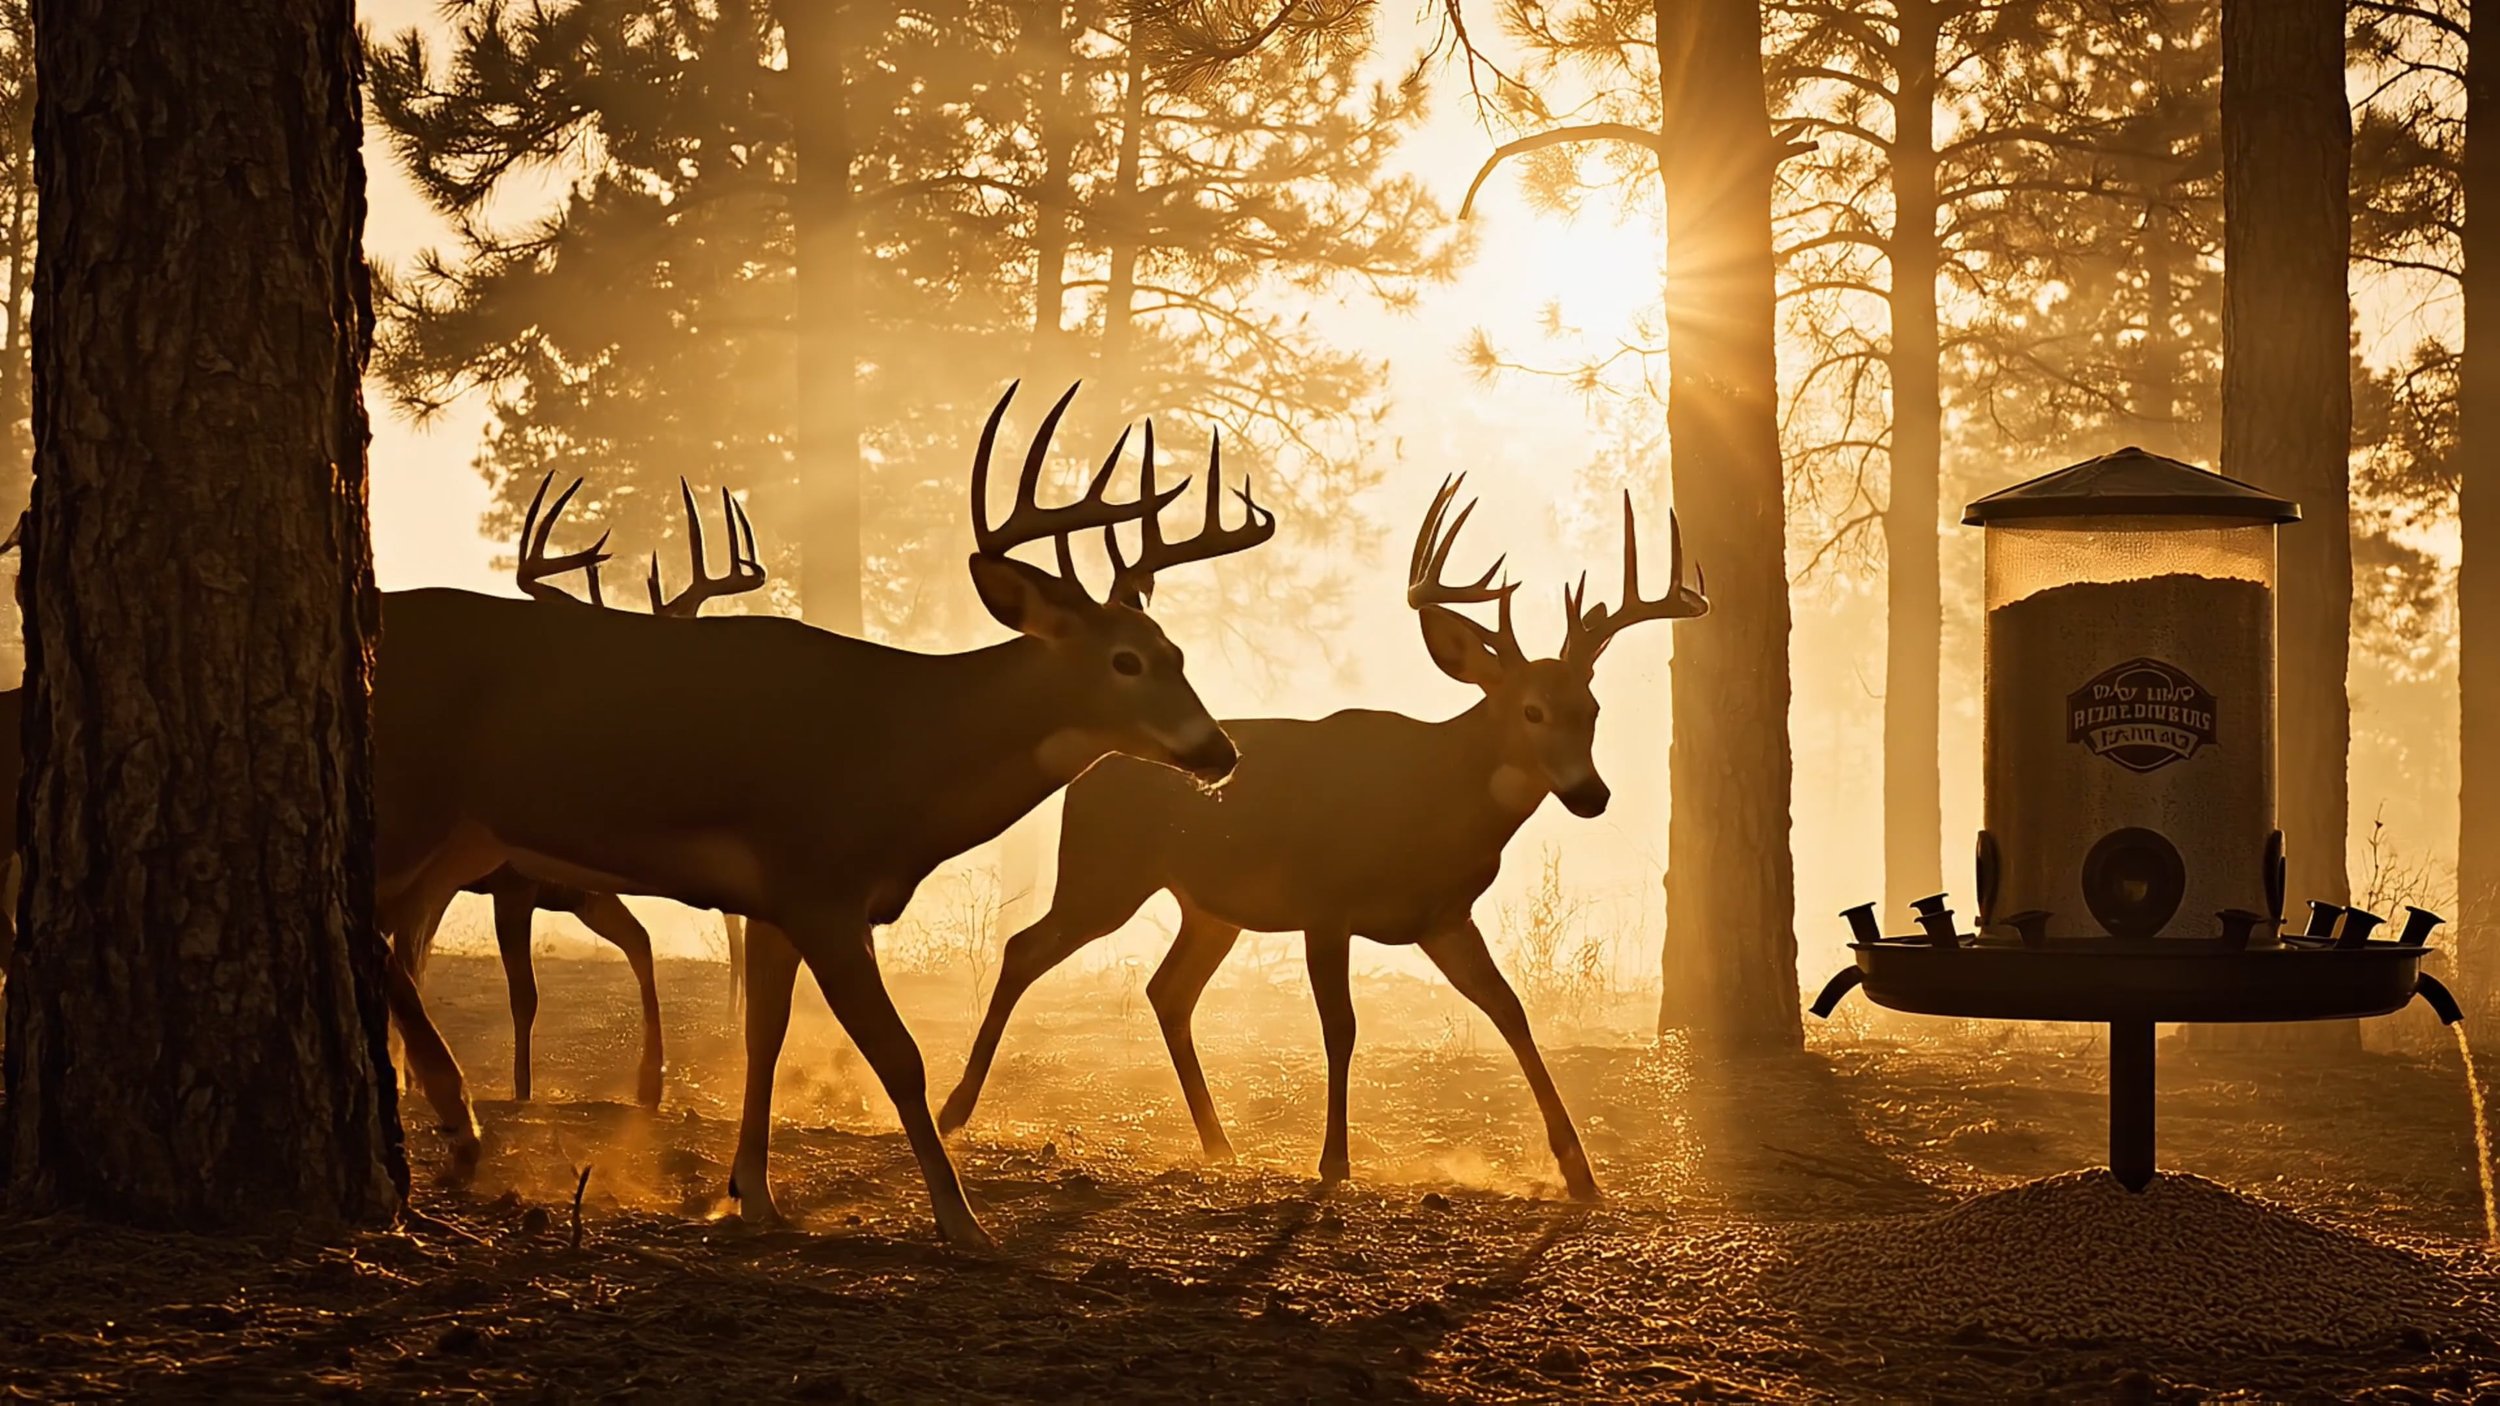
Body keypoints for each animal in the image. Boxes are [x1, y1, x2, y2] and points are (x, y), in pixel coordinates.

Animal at [368, 382, 1274, 1247]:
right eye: (1125, 661)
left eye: (1177, 652)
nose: (1221, 751)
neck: (906, 754)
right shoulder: (821, 883)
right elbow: (898, 1055)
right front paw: (962, 1221)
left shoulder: (776, 902)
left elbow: (761, 1037)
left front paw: (751, 1195)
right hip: (413, 796)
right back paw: (460, 1123)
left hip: (465, 834)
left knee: (396, 934)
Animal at [936, 475, 1707, 1200]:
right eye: (1532, 710)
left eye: (1593, 708)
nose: (1591, 795)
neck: (1433, 805)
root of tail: (1089, 771)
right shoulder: (1326, 902)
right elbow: (1342, 1026)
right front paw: (1334, 1161)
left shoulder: (1445, 916)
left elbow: (1512, 1013)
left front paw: (1581, 1174)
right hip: (1104, 872)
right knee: (1025, 948)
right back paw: (954, 1110)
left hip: (1208, 906)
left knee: (1167, 989)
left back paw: (1219, 1143)